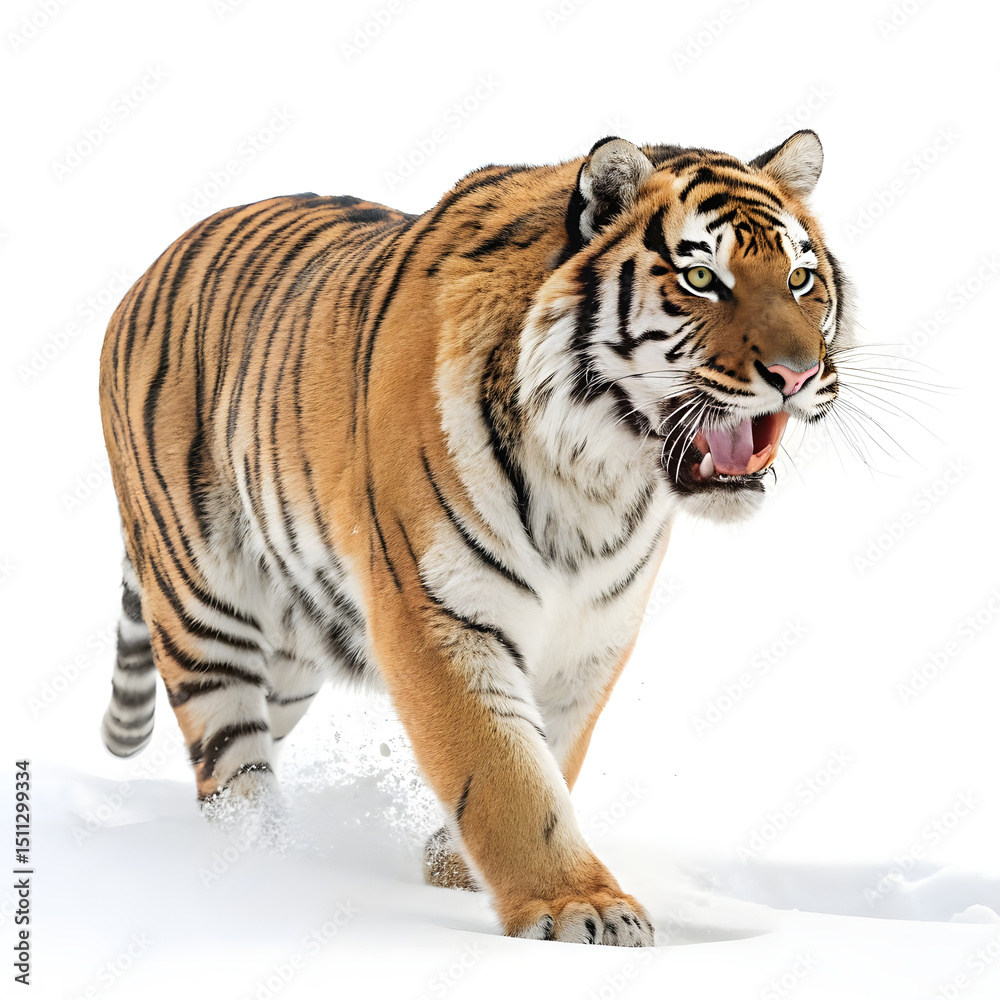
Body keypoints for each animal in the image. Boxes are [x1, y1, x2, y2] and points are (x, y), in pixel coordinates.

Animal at [98, 129, 855, 947]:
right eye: (700, 277)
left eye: (801, 278)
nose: (797, 374)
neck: (596, 478)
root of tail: (150, 269)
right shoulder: (436, 615)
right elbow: (502, 772)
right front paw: (578, 908)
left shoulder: (593, 633)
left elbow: (554, 752)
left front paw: (453, 868)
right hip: (204, 605)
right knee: (230, 769)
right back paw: (259, 867)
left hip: (292, 650)